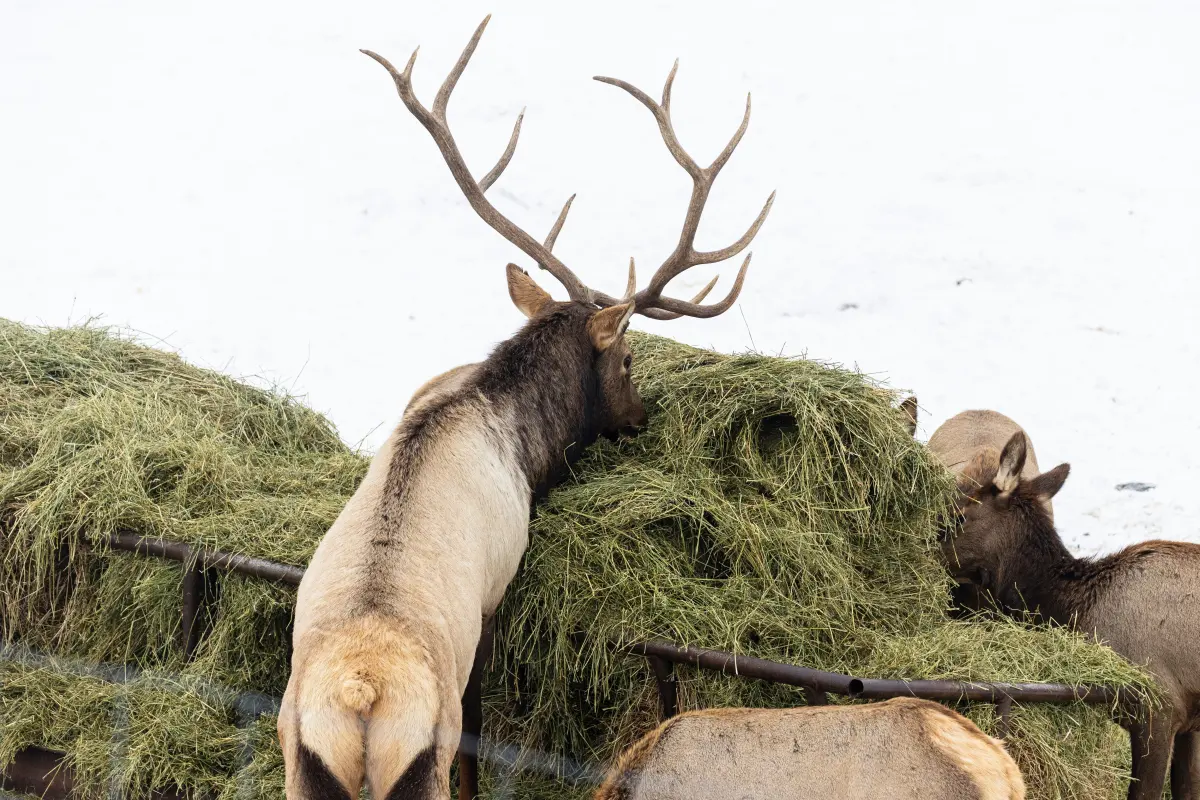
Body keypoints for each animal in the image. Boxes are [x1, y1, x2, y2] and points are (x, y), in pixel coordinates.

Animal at [277, 16, 775, 800]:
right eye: (627, 360)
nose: (641, 416)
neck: (515, 434)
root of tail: (361, 693)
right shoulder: (494, 591)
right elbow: (481, 729)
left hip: (297, 754)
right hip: (421, 746)